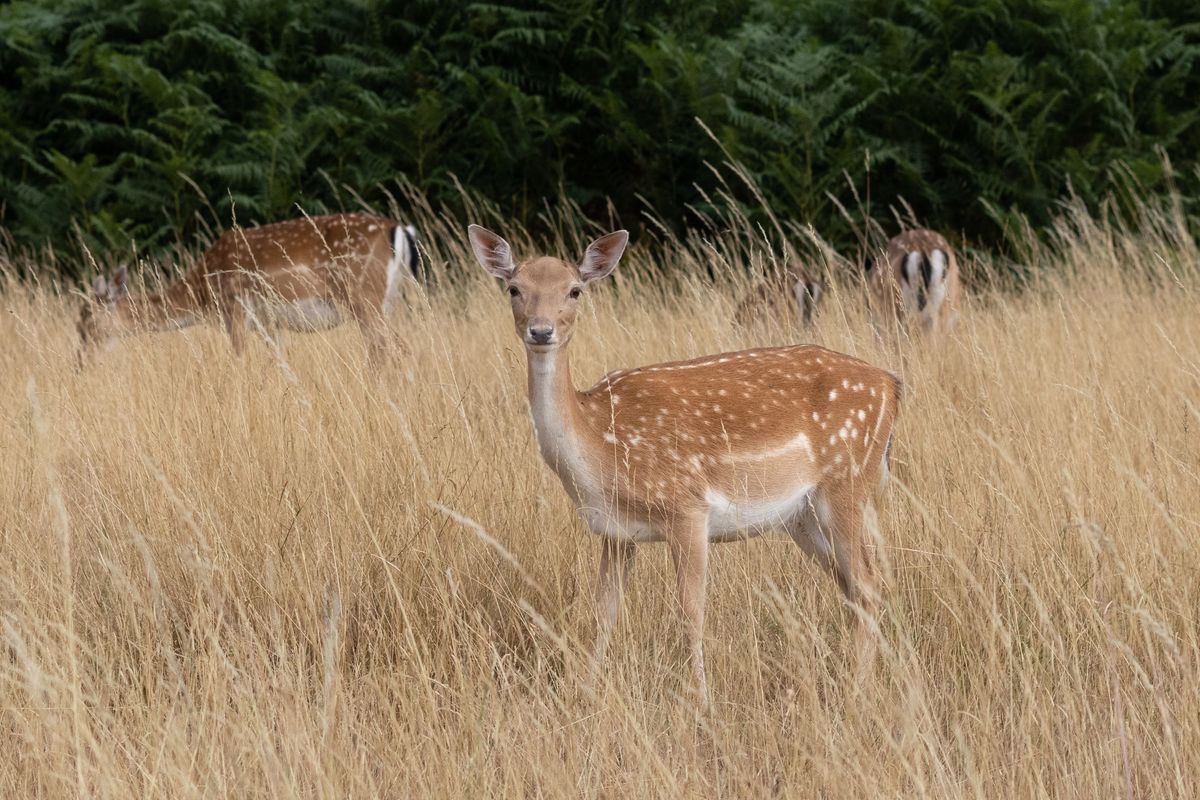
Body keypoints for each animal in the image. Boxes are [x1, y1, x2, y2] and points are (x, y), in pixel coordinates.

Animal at [77, 213, 419, 366]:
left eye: (87, 321)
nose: (80, 361)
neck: (203, 293)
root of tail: (399, 228)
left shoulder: (235, 309)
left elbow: (238, 362)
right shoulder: (270, 324)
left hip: (364, 296)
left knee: (397, 350)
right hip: (386, 300)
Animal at [468, 224, 902, 701]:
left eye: (575, 290)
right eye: (514, 288)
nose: (541, 331)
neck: (600, 450)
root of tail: (892, 386)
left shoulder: (687, 508)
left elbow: (690, 612)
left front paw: (702, 701)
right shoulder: (615, 532)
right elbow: (604, 612)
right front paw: (585, 691)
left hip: (848, 482)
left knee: (869, 584)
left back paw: (859, 690)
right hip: (801, 516)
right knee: (851, 586)